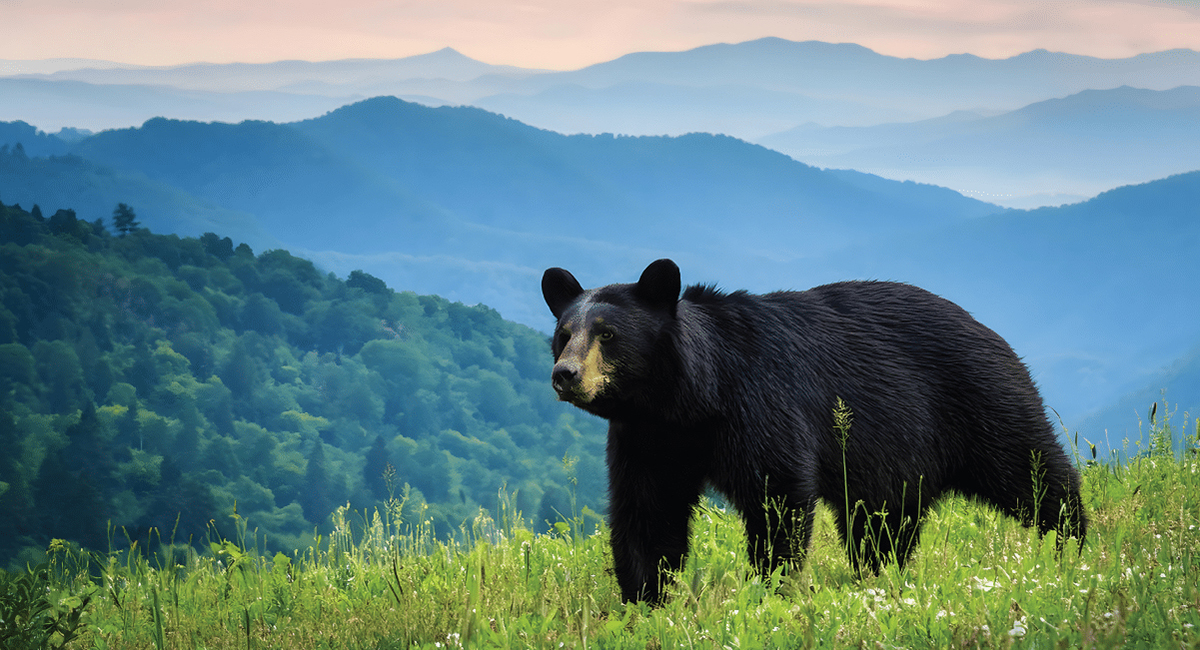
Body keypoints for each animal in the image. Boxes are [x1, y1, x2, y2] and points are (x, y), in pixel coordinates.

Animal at [541, 258, 1087, 604]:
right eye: (564, 335)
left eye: (608, 334)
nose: (565, 374)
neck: (690, 398)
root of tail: (993, 332)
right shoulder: (649, 437)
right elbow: (648, 512)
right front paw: (646, 599)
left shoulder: (759, 402)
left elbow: (776, 492)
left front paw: (770, 586)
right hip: (897, 460)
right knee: (882, 524)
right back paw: (879, 575)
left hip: (981, 402)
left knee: (1034, 474)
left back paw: (1072, 547)